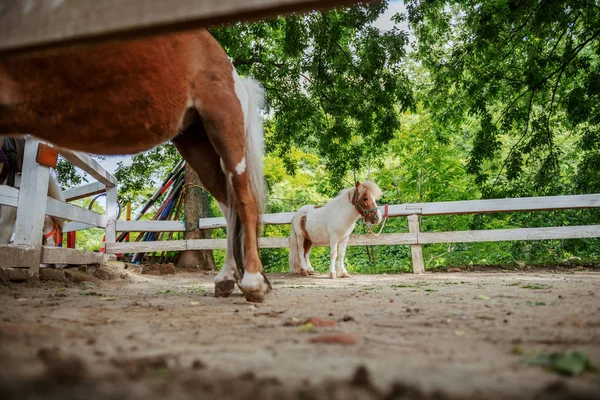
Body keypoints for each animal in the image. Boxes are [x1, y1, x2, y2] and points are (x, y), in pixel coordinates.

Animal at [0, 29, 270, 302]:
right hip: (199, 147)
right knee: (229, 206)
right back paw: (227, 278)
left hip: (225, 129)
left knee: (245, 202)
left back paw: (252, 281)